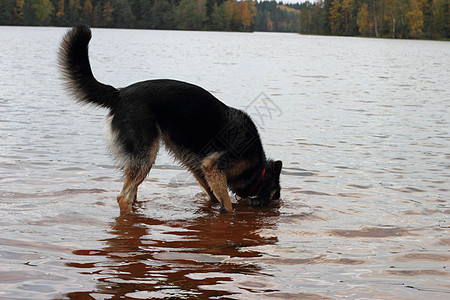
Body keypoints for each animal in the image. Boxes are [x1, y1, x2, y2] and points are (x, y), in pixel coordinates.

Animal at [56, 26, 282, 213]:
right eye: (275, 196)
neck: (256, 166)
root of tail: (119, 94)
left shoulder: (199, 166)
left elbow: (213, 195)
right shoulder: (214, 166)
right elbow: (226, 204)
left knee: (132, 192)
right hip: (146, 155)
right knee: (123, 197)